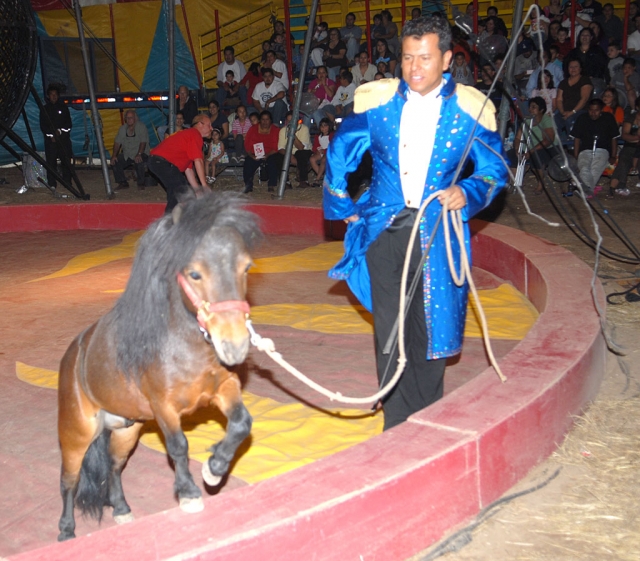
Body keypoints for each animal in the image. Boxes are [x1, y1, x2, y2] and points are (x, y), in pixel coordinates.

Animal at [56, 191, 262, 540]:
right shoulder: (164, 407)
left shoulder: (224, 388)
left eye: (246, 267)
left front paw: (215, 467)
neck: (186, 347)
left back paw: (121, 509)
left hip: (126, 429)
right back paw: (66, 532)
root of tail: (74, 354)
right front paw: (189, 493)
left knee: (114, 465)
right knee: (68, 481)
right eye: (194, 274)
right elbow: (178, 446)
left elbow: (240, 424)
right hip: (76, 434)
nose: (234, 346)